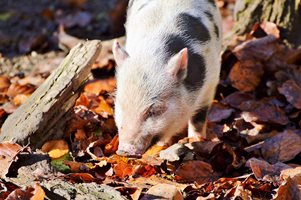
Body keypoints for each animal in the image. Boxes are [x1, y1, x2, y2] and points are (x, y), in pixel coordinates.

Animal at [112, 0, 220, 156]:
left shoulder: (211, 80)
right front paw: (163, 145)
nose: (123, 150)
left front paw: (196, 140)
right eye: (120, 105)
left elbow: (198, 118)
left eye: (154, 110)